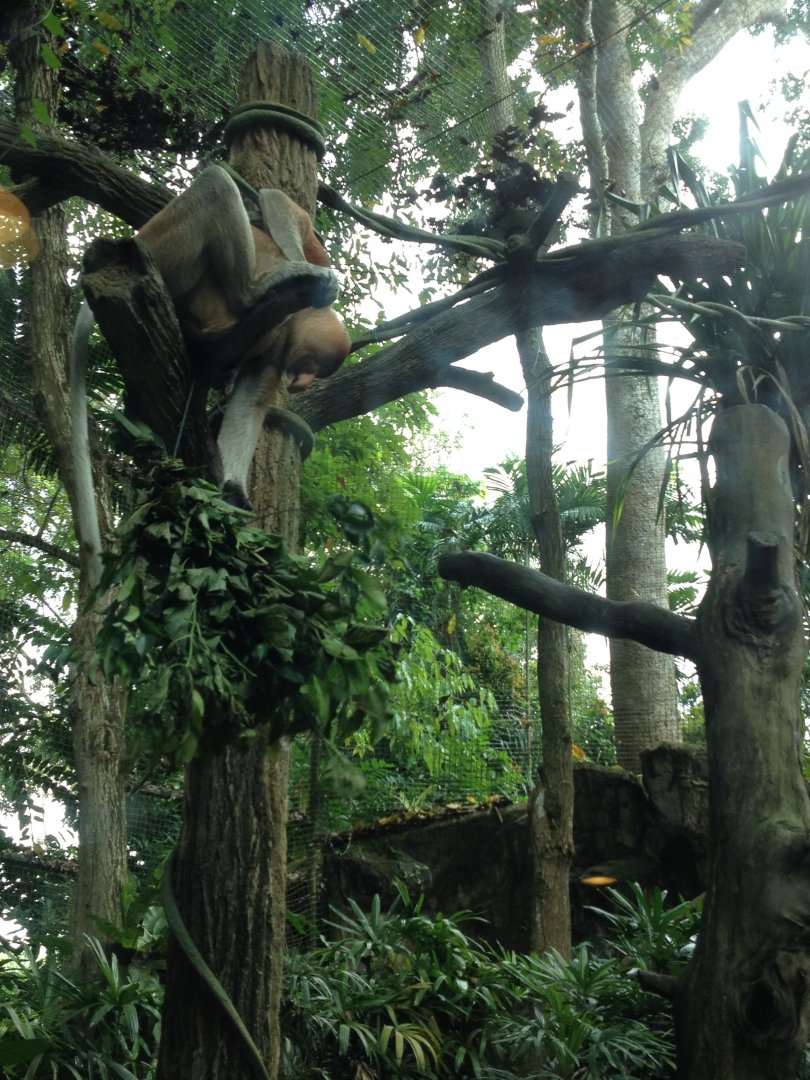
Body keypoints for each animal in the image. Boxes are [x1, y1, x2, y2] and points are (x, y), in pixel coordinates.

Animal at [70, 165, 351, 586]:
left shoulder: (275, 347)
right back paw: (254, 290)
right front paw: (306, 269)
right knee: (215, 183)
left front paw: (232, 489)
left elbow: (251, 401)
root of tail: (136, 240)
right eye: (313, 366)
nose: (302, 382)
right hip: (165, 244)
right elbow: (281, 206)